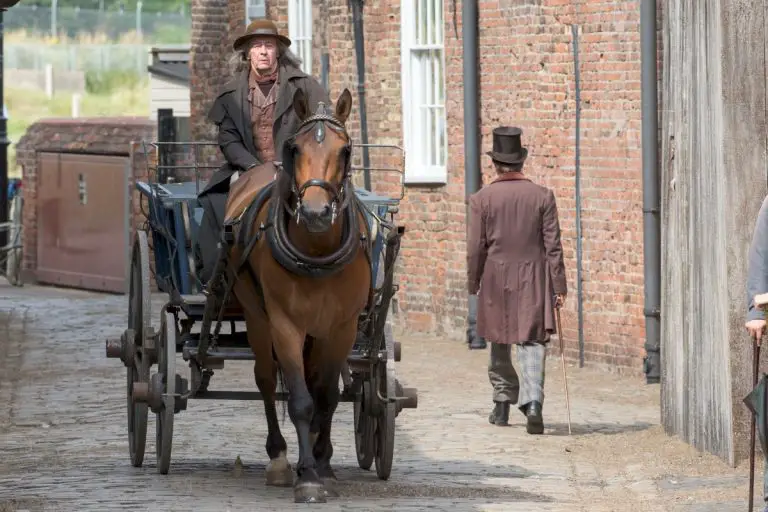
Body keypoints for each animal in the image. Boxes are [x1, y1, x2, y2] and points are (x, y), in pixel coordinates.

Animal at [222, 88, 372, 504]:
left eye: (346, 150)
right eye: (295, 148)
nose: (317, 212)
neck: (317, 252)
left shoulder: (341, 328)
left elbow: (327, 396)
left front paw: (323, 464)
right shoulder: (285, 325)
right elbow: (301, 401)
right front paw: (307, 477)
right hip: (257, 320)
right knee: (265, 381)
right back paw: (277, 458)